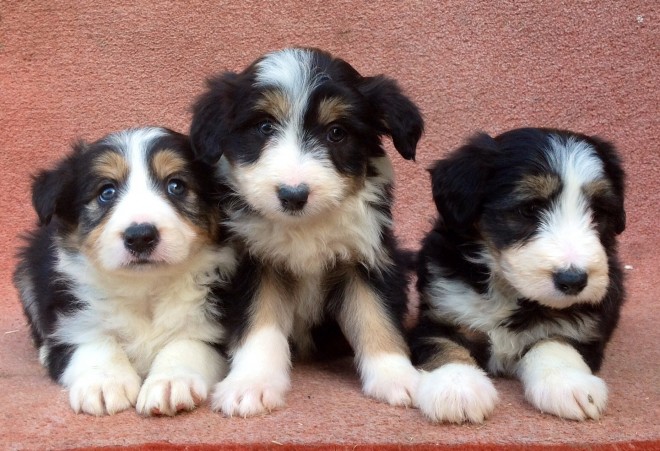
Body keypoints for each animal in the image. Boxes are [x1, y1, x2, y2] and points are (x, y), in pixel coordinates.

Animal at [12, 126, 237, 416]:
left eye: (176, 185)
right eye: (106, 192)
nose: (140, 236)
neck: (144, 288)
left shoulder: (214, 326)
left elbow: (188, 343)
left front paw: (170, 382)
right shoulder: (73, 317)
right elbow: (95, 342)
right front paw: (103, 382)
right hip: (27, 267)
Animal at [189, 47, 428, 418]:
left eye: (336, 132)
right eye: (264, 126)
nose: (293, 195)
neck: (304, 227)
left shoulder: (367, 256)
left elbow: (376, 317)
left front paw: (399, 378)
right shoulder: (252, 262)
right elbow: (259, 323)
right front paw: (251, 385)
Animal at [410, 127, 628, 424]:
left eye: (597, 211)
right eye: (529, 209)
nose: (573, 281)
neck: (507, 289)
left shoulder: (586, 326)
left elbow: (554, 341)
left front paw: (568, 384)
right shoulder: (439, 312)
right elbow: (444, 347)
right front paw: (457, 387)